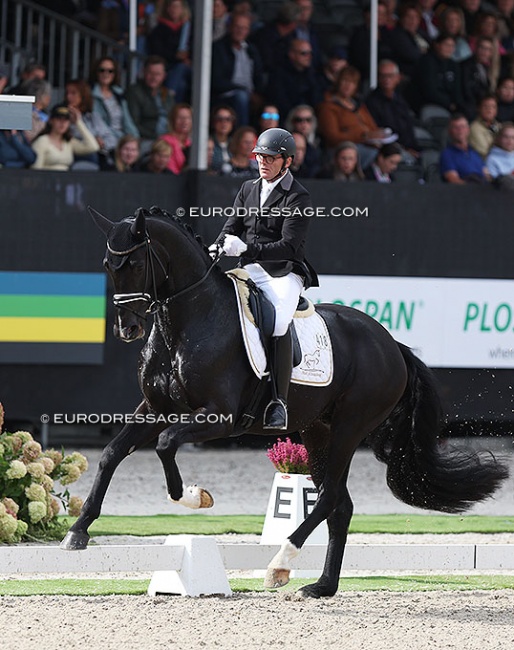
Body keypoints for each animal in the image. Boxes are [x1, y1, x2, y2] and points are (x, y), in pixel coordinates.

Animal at [62, 205, 506, 596]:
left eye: (136, 264)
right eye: (107, 264)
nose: (127, 329)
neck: (186, 322)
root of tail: (392, 344)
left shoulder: (219, 417)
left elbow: (166, 444)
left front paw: (193, 497)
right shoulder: (156, 410)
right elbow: (111, 454)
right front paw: (78, 531)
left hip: (349, 428)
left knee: (328, 498)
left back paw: (280, 564)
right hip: (317, 430)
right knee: (340, 505)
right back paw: (322, 586)